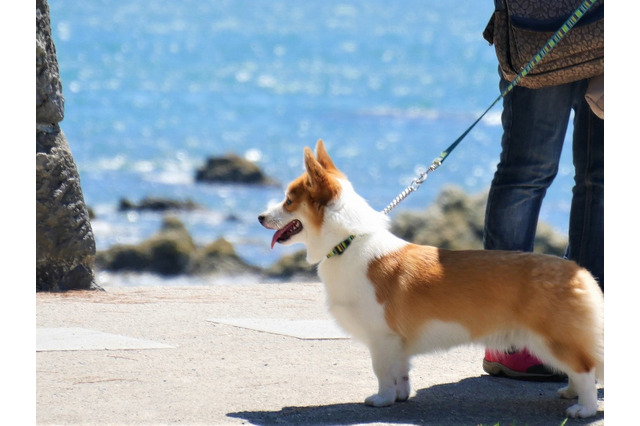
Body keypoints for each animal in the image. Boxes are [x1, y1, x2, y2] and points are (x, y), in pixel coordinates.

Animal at [258, 141, 604, 420]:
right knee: (580, 369)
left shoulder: (382, 337)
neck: (349, 241)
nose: (260, 217)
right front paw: (400, 397)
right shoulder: (397, 343)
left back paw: (583, 408)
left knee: (585, 369)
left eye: (288, 201)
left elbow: (381, 372)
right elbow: (401, 373)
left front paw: (381, 400)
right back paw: (570, 393)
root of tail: (581, 272)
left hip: (551, 339)